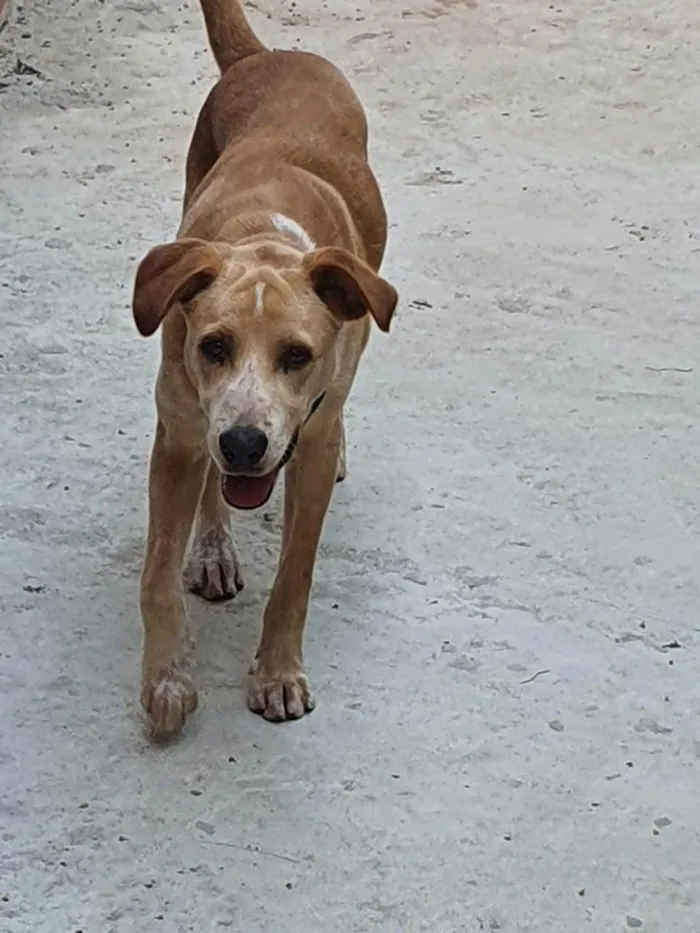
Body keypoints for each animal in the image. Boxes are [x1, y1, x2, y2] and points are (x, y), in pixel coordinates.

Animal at [132, 1, 400, 744]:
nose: (246, 444)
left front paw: (278, 673)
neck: (264, 241)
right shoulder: (181, 434)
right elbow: (157, 573)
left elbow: (295, 575)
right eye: (214, 346)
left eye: (297, 355)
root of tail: (269, 54)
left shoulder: (307, 444)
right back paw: (214, 547)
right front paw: (166, 680)